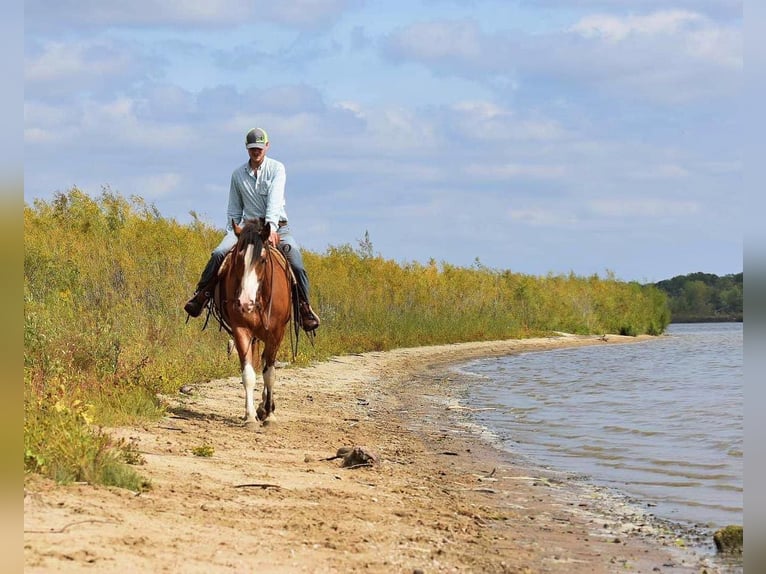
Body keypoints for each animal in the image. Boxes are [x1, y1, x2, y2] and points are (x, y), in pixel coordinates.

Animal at [219, 218, 296, 426]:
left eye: (262, 259)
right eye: (238, 258)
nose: (245, 302)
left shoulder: (276, 333)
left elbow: (270, 374)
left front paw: (269, 414)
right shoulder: (241, 330)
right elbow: (248, 374)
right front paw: (251, 416)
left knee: (267, 364)